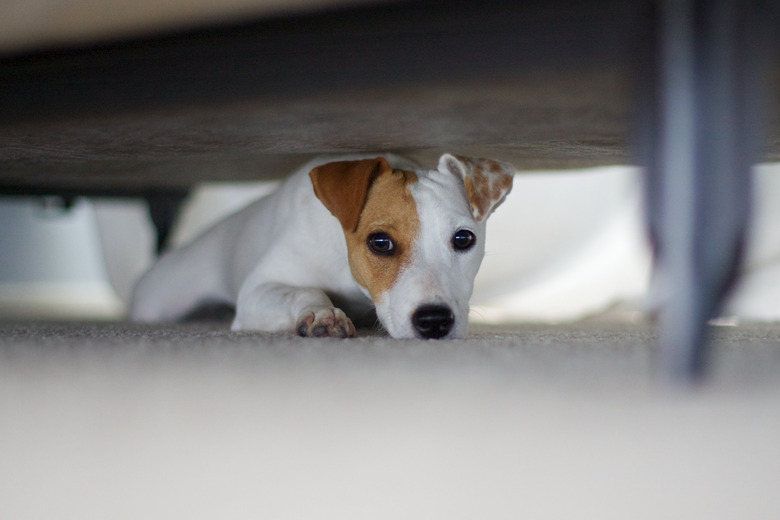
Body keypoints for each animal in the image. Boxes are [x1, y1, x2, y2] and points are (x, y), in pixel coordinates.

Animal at [131, 153, 516, 342]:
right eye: (380, 242)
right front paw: (322, 315)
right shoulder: (258, 289)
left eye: (464, 239)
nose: (435, 321)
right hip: (159, 301)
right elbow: (303, 290)